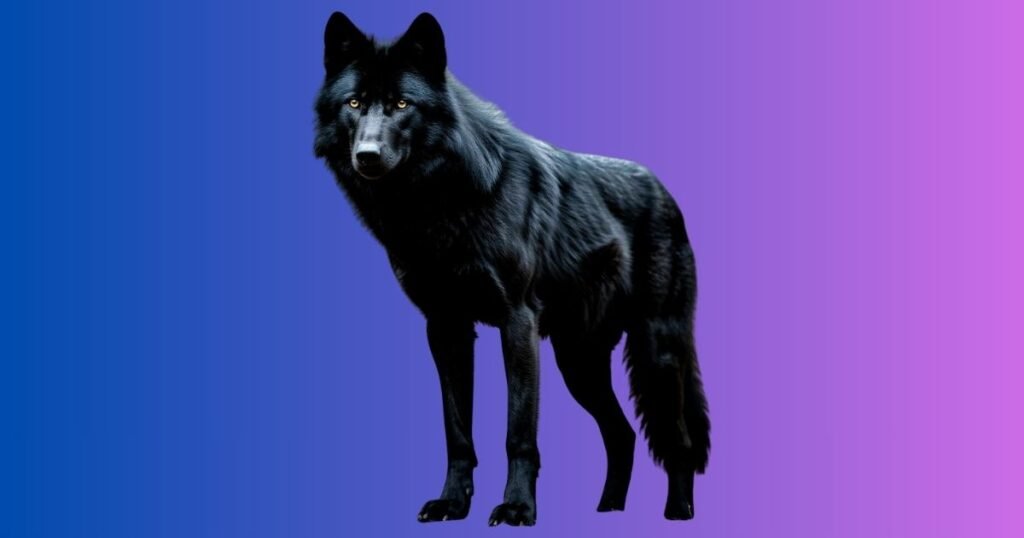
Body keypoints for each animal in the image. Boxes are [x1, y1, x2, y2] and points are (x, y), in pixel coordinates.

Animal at [313, 12, 710, 526]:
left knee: (677, 440)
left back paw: (677, 514)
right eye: (355, 102)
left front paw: (518, 507)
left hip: (655, 355)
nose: (368, 156)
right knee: (621, 435)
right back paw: (607, 511)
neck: (439, 204)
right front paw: (451, 503)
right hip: (578, 365)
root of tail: (667, 192)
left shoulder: (516, 322)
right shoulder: (446, 328)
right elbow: (458, 433)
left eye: (402, 103)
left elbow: (518, 433)